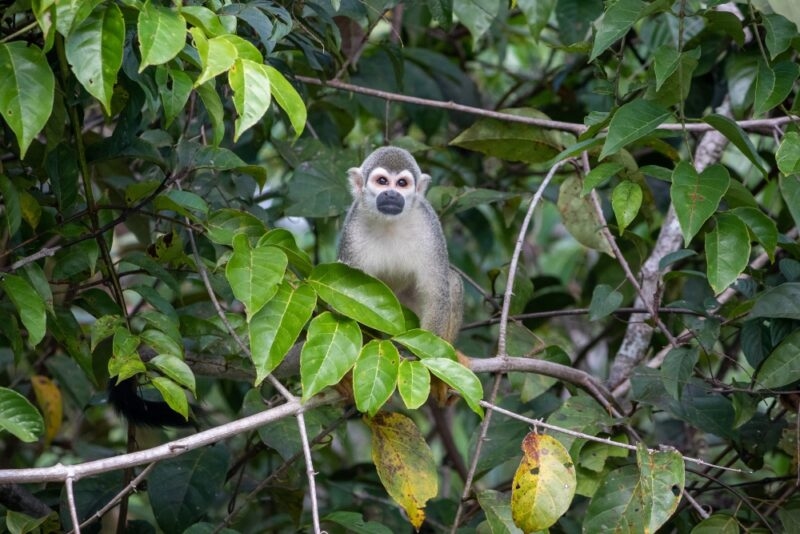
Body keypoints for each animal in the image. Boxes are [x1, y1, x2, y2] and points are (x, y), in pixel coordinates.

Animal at [338, 146, 463, 343]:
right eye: (382, 181)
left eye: (402, 183)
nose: (391, 194)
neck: (390, 223)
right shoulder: (353, 232)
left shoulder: (429, 226)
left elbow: (436, 295)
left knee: (453, 281)